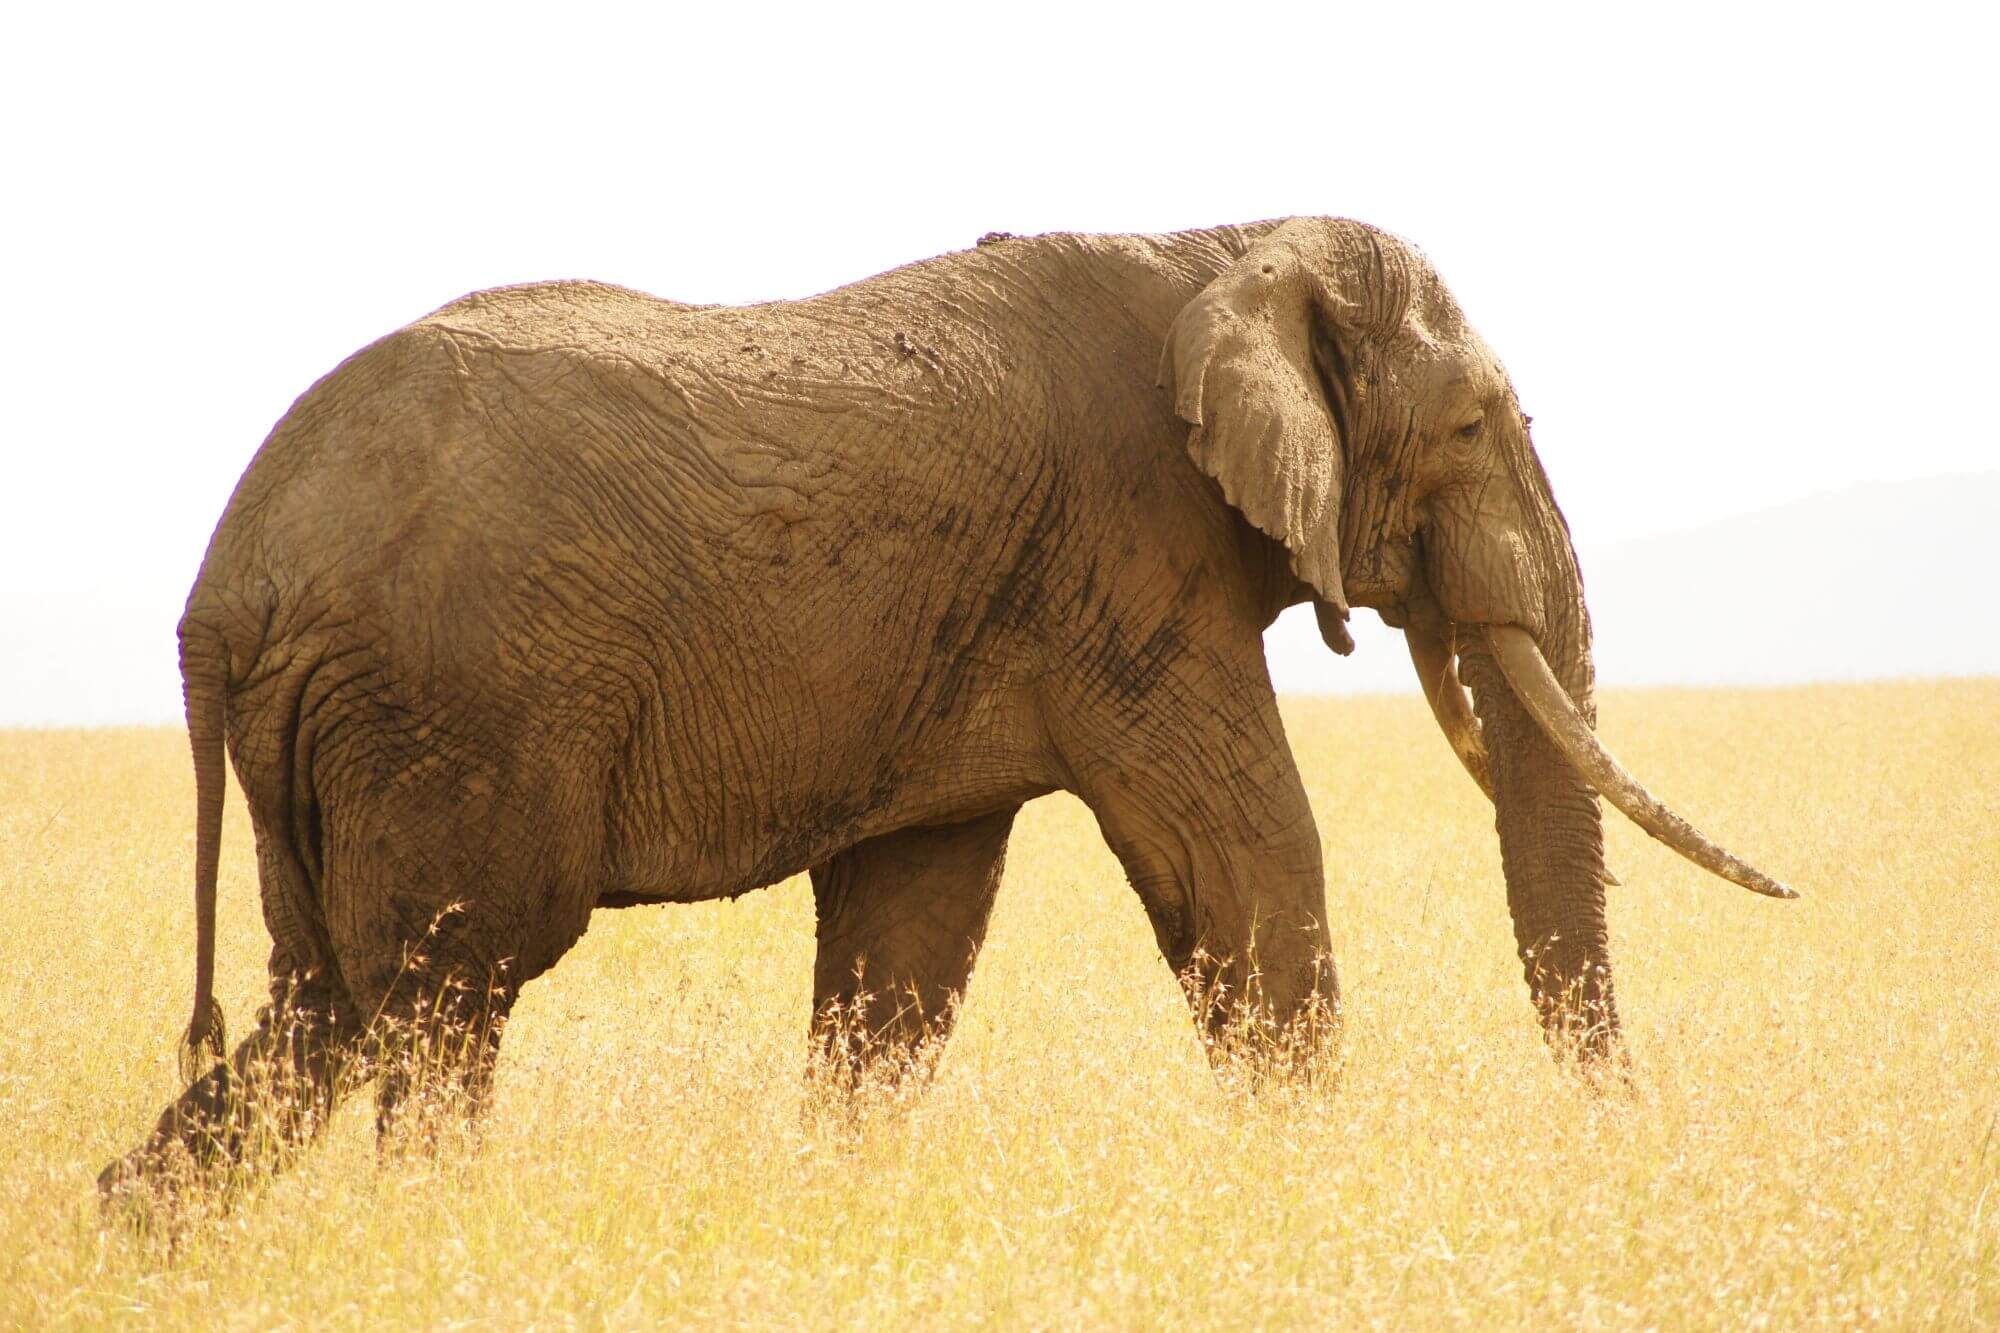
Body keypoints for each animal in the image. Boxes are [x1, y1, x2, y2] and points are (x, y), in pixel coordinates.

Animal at [101, 217, 1792, 1192]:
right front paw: (1322, 1192)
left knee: (323, 1004)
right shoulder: (1131, 554)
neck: (1222, 239)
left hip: (336, 732)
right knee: (444, 998)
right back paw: (447, 1231)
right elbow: (1245, 870)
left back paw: (147, 1228)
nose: (1626, 1137)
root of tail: (229, 580)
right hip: (449, 710)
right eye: (1472, 425)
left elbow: (905, 945)